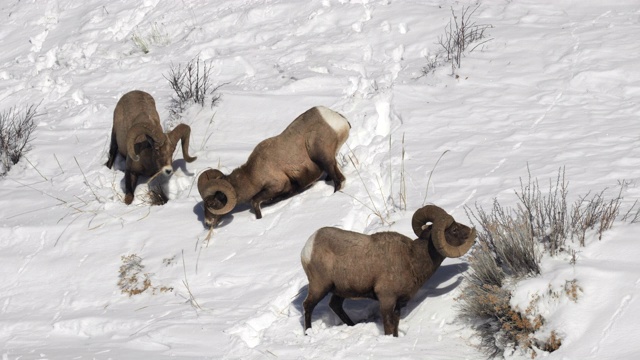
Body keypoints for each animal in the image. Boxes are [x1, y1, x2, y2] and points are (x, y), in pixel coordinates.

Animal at [199, 105, 350, 226]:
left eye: (211, 204)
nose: (207, 223)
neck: (251, 176)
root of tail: (339, 120)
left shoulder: (275, 186)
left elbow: (255, 202)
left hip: (322, 157)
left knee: (339, 180)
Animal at [300, 205, 476, 338]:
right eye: (454, 230)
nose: (473, 233)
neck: (412, 258)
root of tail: (307, 248)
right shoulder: (386, 300)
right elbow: (389, 325)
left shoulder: (397, 304)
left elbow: (395, 324)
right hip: (320, 287)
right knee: (308, 305)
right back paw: (308, 333)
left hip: (340, 290)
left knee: (335, 306)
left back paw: (352, 325)